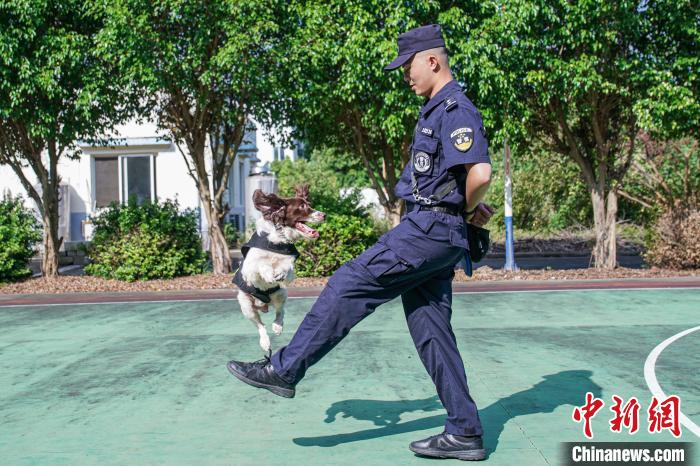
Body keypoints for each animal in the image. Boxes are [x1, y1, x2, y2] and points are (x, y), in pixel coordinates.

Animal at [232, 186, 326, 354]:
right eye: (302, 206)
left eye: (309, 204)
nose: (324, 215)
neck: (278, 239)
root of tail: (263, 305)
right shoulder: (248, 268)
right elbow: (261, 264)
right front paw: (269, 273)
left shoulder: (290, 267)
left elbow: (287, 267)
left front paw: (279, 272)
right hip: (246, 304)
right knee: (260, 325)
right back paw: (265, 342)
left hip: (281, 293)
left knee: (280, 311)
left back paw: (277, 326)